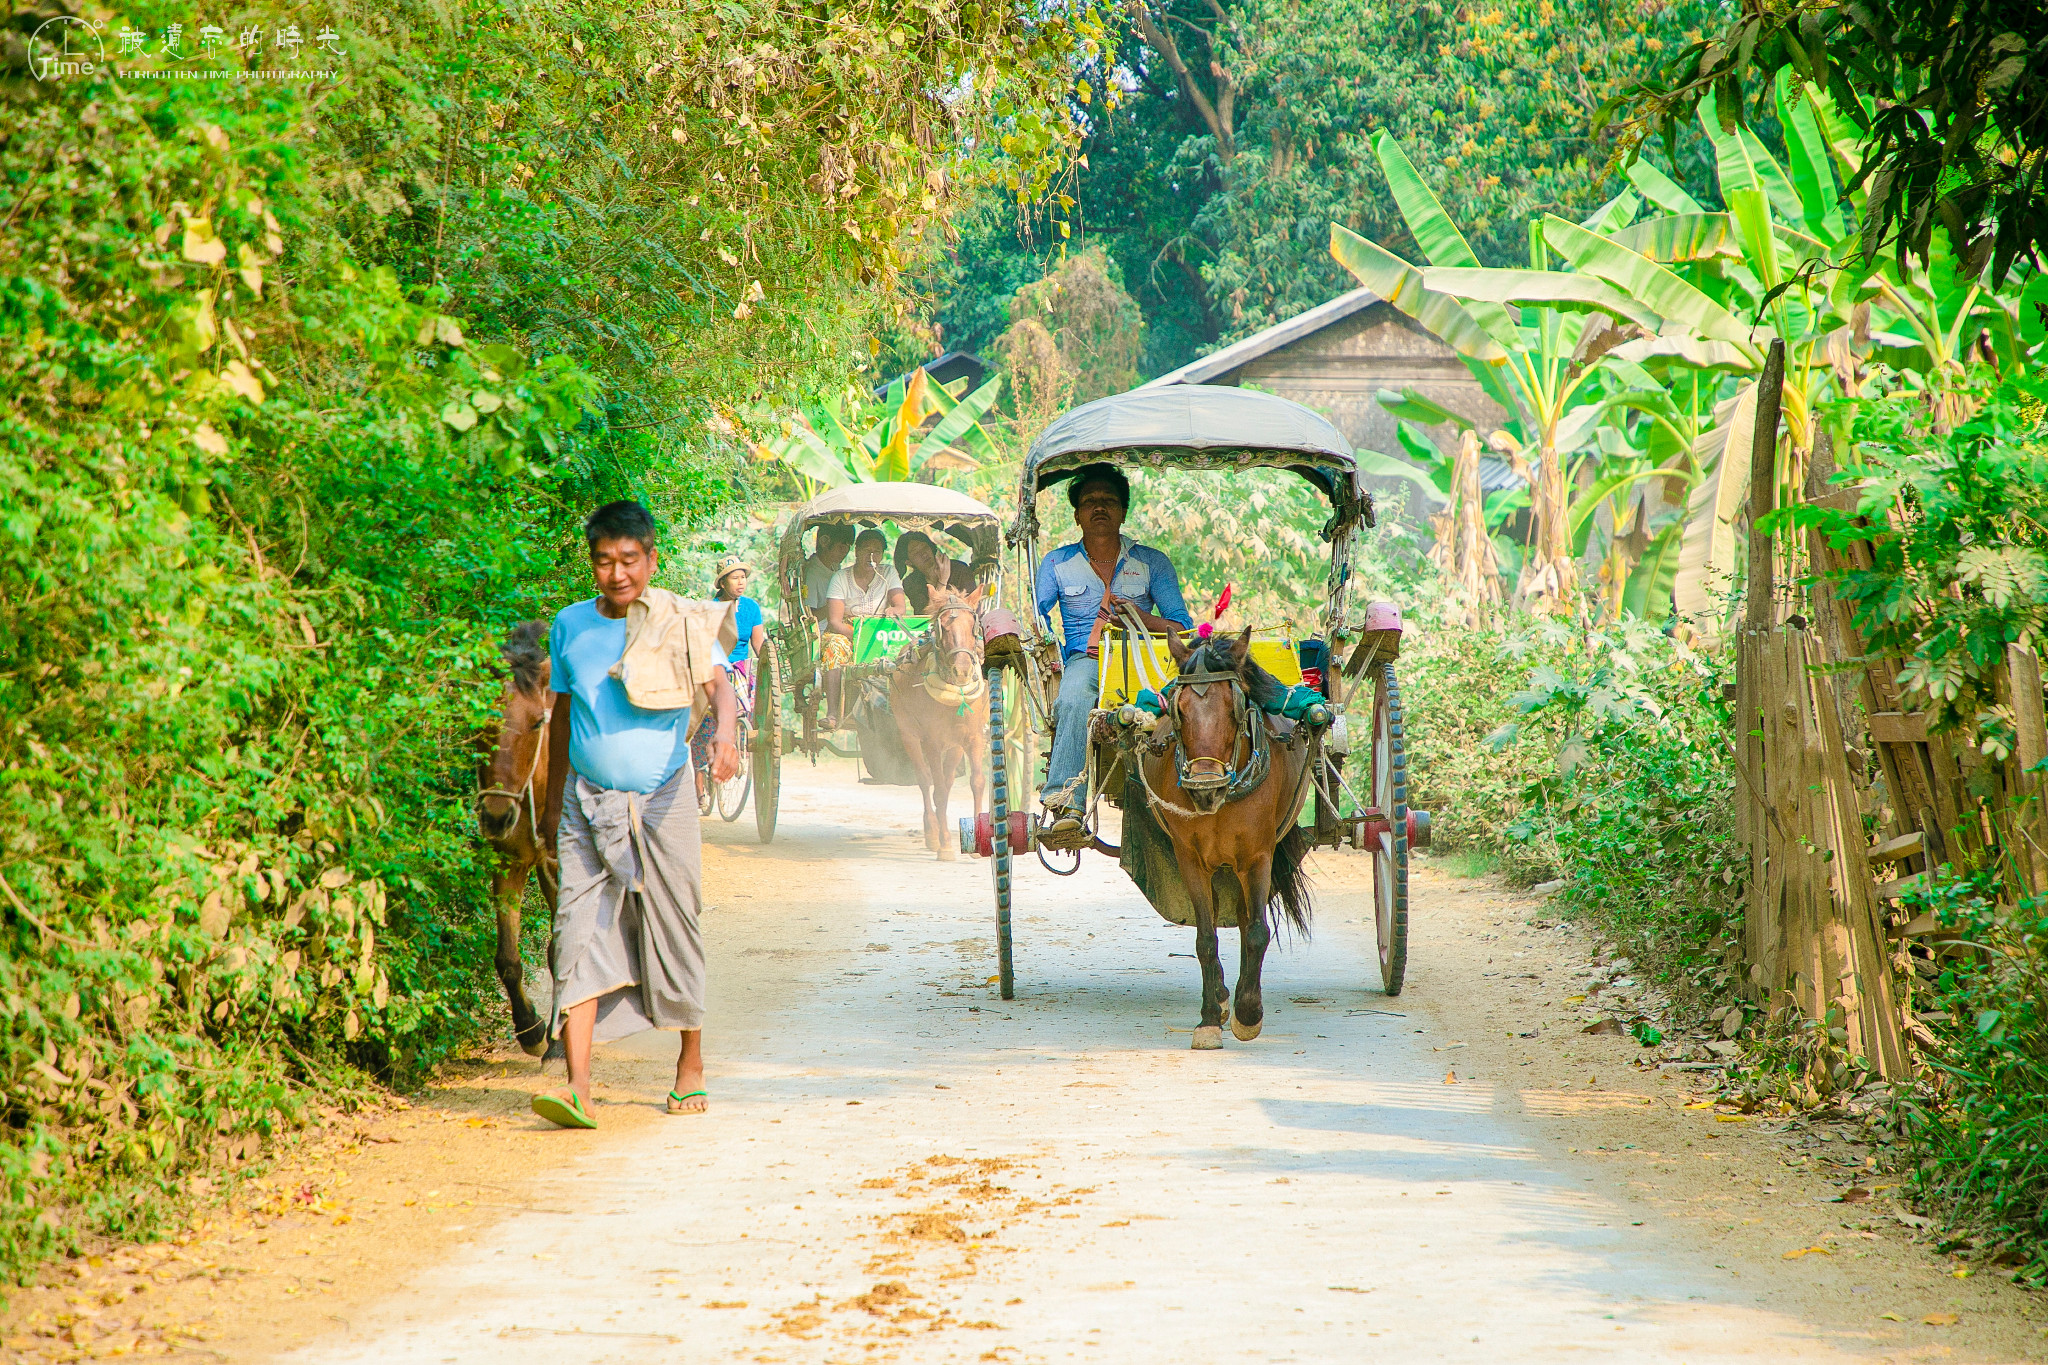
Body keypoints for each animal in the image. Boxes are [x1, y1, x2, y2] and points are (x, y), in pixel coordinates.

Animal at [888, 581, 991, 859]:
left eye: (973, 624)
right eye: (942, 626)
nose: (963, 670)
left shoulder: (974, 738)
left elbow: (977, 782)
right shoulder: (932, 741)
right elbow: (940, 791)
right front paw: (945, 845)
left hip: (954, 745)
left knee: (945, 778)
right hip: (909, 735)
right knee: (925, 782)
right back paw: (932, 833)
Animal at [1155, 634, 1310, 1055]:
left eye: (1235, 707)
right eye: (1179, 709)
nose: (1205, 788)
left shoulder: (1257, 857)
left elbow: (1257, 932)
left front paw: (1249, 1014)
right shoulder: (1189, 859)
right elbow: (1205, 938)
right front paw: (1210, 1018)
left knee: (1246, 922)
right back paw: (1225, 997)